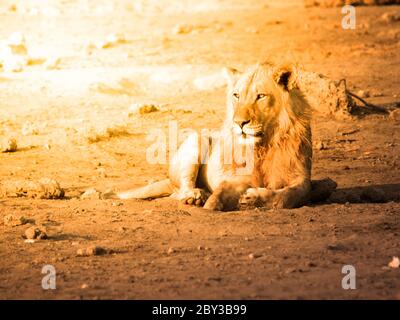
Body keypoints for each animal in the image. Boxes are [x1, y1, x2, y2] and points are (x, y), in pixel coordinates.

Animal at [111, 62, 336, 210]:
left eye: (260, 96)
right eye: (236, 95)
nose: (239, 123)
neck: (264, 144)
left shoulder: (300, 177)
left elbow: (289, 195)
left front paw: (254, 198)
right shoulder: (237, 178)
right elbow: (221, 192)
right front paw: (212, 203)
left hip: (330, 181)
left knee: (329, 183)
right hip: (197, 139)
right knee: (181, 189)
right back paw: (196, 195)